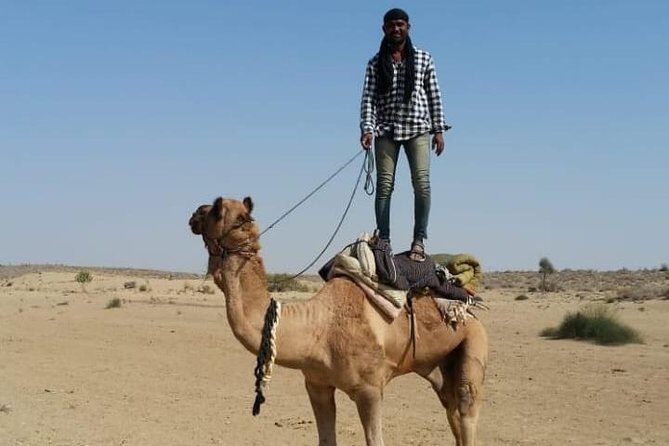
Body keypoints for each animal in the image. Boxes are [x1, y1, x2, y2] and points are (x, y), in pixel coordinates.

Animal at [189, 196, 488, 446]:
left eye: (216, 208)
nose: (194, 213)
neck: (317, 327)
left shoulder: (370, 390)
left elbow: (375, 441)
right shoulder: (317, 384)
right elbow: (326, 439)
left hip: (474, 338)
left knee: (466, 404)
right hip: (435, 364)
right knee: (450, 405)